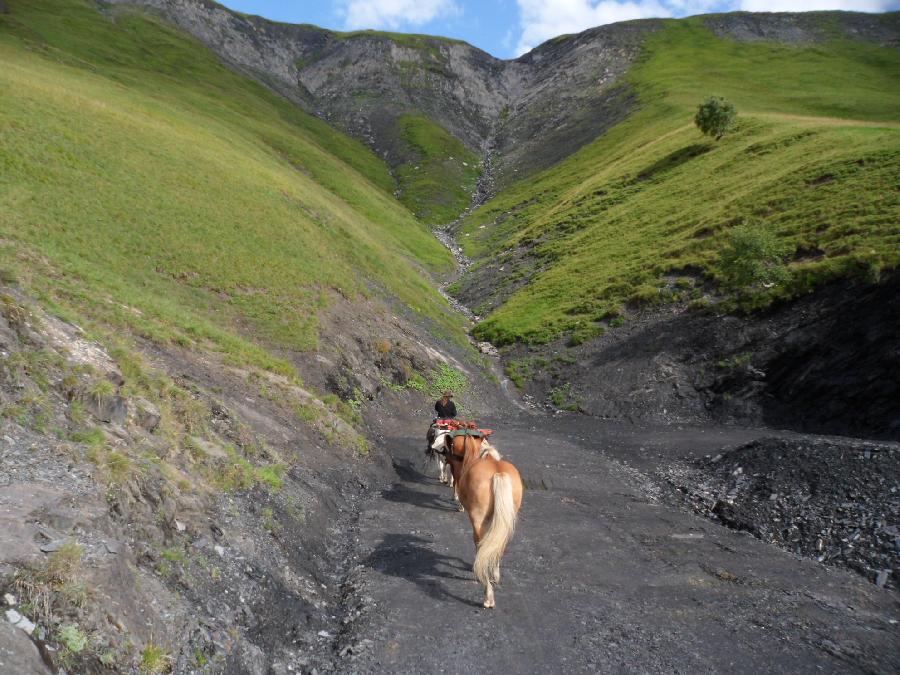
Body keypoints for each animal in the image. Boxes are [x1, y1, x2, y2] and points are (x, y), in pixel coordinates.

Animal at [442, 434, 520, 612]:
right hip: (507, 520)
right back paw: (494, 576)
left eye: (451, 445)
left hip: (478, 520)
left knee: (482, 544)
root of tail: (498, 473)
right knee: (499, 546)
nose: (443, 454)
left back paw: (488, 596)